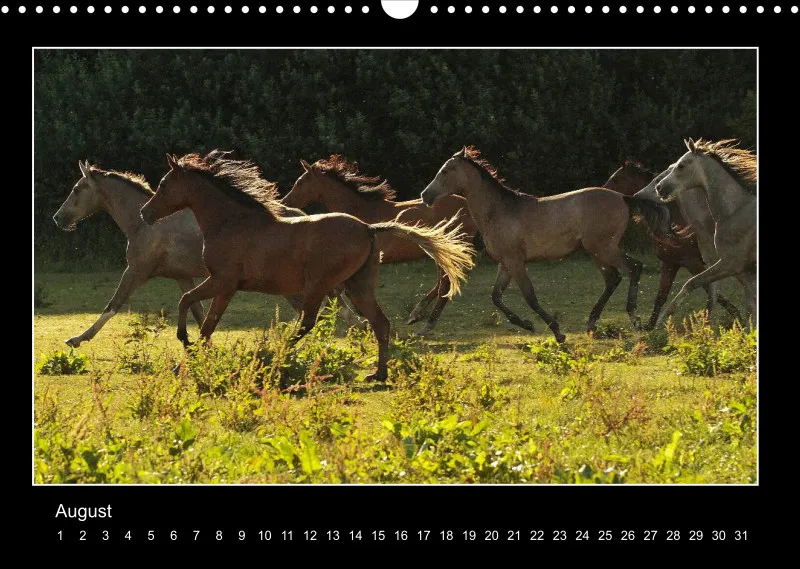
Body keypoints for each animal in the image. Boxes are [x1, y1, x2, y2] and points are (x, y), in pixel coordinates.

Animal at [52, 160, 359, 348]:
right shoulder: (184, 278)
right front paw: (201, 344)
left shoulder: (137, 271)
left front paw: (77, 338)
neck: (144, 224)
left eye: (77, 189)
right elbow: (198, 312)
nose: (58, 218)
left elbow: (112, 305)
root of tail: (300, 215)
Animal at [281, 155, 479, 334]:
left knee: (444, 285)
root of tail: (468, 208)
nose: (284, 202)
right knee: (442, 284)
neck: (361, 213)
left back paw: (426, 325)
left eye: (300, 182)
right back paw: (415, 316)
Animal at [420, 146, 658, 342]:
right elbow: (496, 297)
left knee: (633, 268)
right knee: (613, 278)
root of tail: (622, 198)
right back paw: (592, 323)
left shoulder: (516, 262)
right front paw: (526, 324)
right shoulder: (505, 263)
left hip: (604, 249)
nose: (425, 195)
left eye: (446, 170)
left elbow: (530, 298)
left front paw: (557, 332)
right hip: (597, 252)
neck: (498, 211)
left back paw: (636, 320)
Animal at [604, 160, 741, 328]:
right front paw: (650, 326)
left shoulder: (693, 264)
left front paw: (737, 316)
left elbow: (709, 289)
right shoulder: (671, 264)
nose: (603, 193)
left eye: (616, 179)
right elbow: (661, 297)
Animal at [652, 138, 756, 327]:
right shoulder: (745, 270)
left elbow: (691, 283)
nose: (659, 187)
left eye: (681, 165)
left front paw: (663, 321)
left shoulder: (730, 264)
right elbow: (749, 306)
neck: (735, 210)